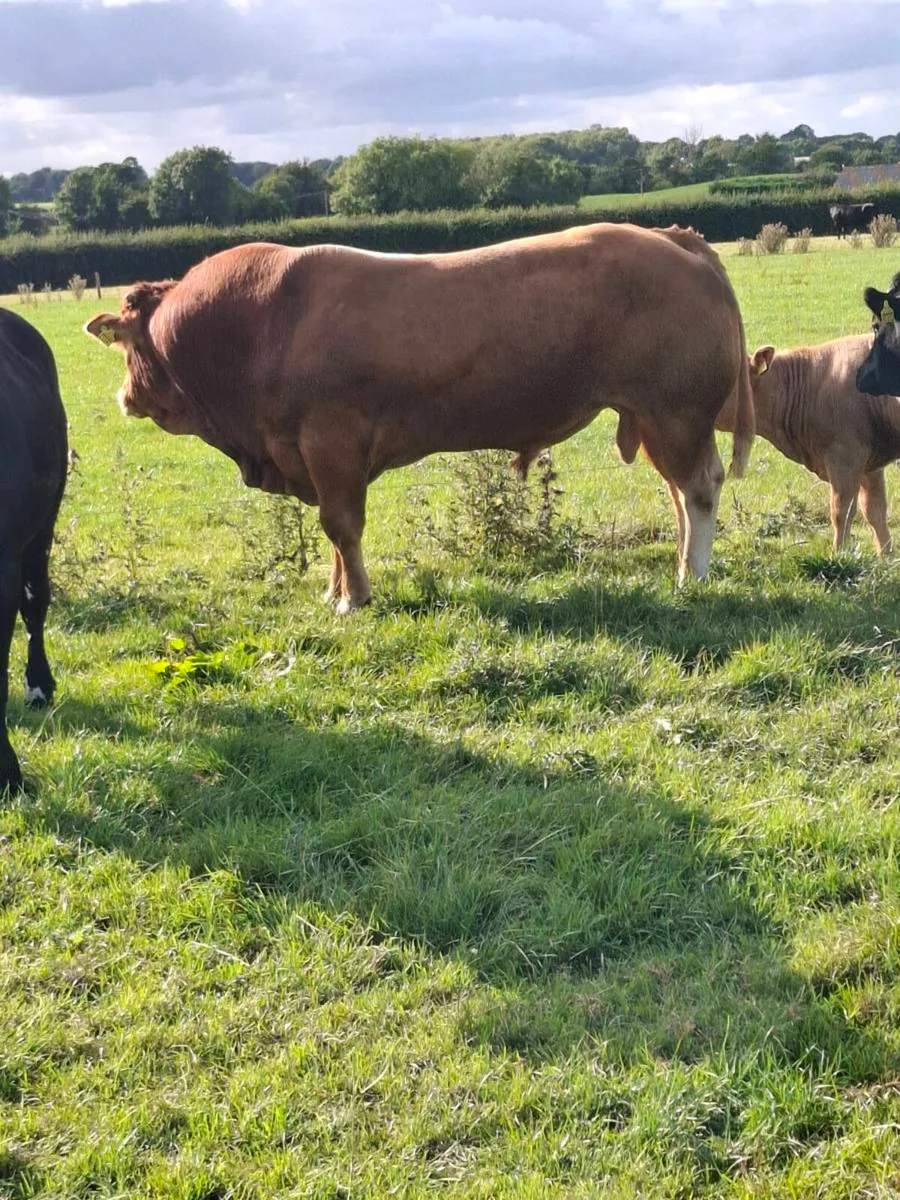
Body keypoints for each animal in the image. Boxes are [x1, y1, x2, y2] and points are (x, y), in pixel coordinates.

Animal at [84, 223, 754, 608]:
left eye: (127, 340)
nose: (126, 397)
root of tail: (670, 235)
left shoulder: (329, 442)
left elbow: (340, 526)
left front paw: (353, 599)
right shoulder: (319, 458)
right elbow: (336, 534)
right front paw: (333, 591)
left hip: (675, 411)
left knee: (699, 489)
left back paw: (691, 576)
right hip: (658, 418)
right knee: (679, 492)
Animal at [714, 336, 900, 553]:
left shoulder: (845, 456)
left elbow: (842, 511)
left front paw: (839, 553)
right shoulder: (871, 464)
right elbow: (874, 511)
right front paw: (886, 556)